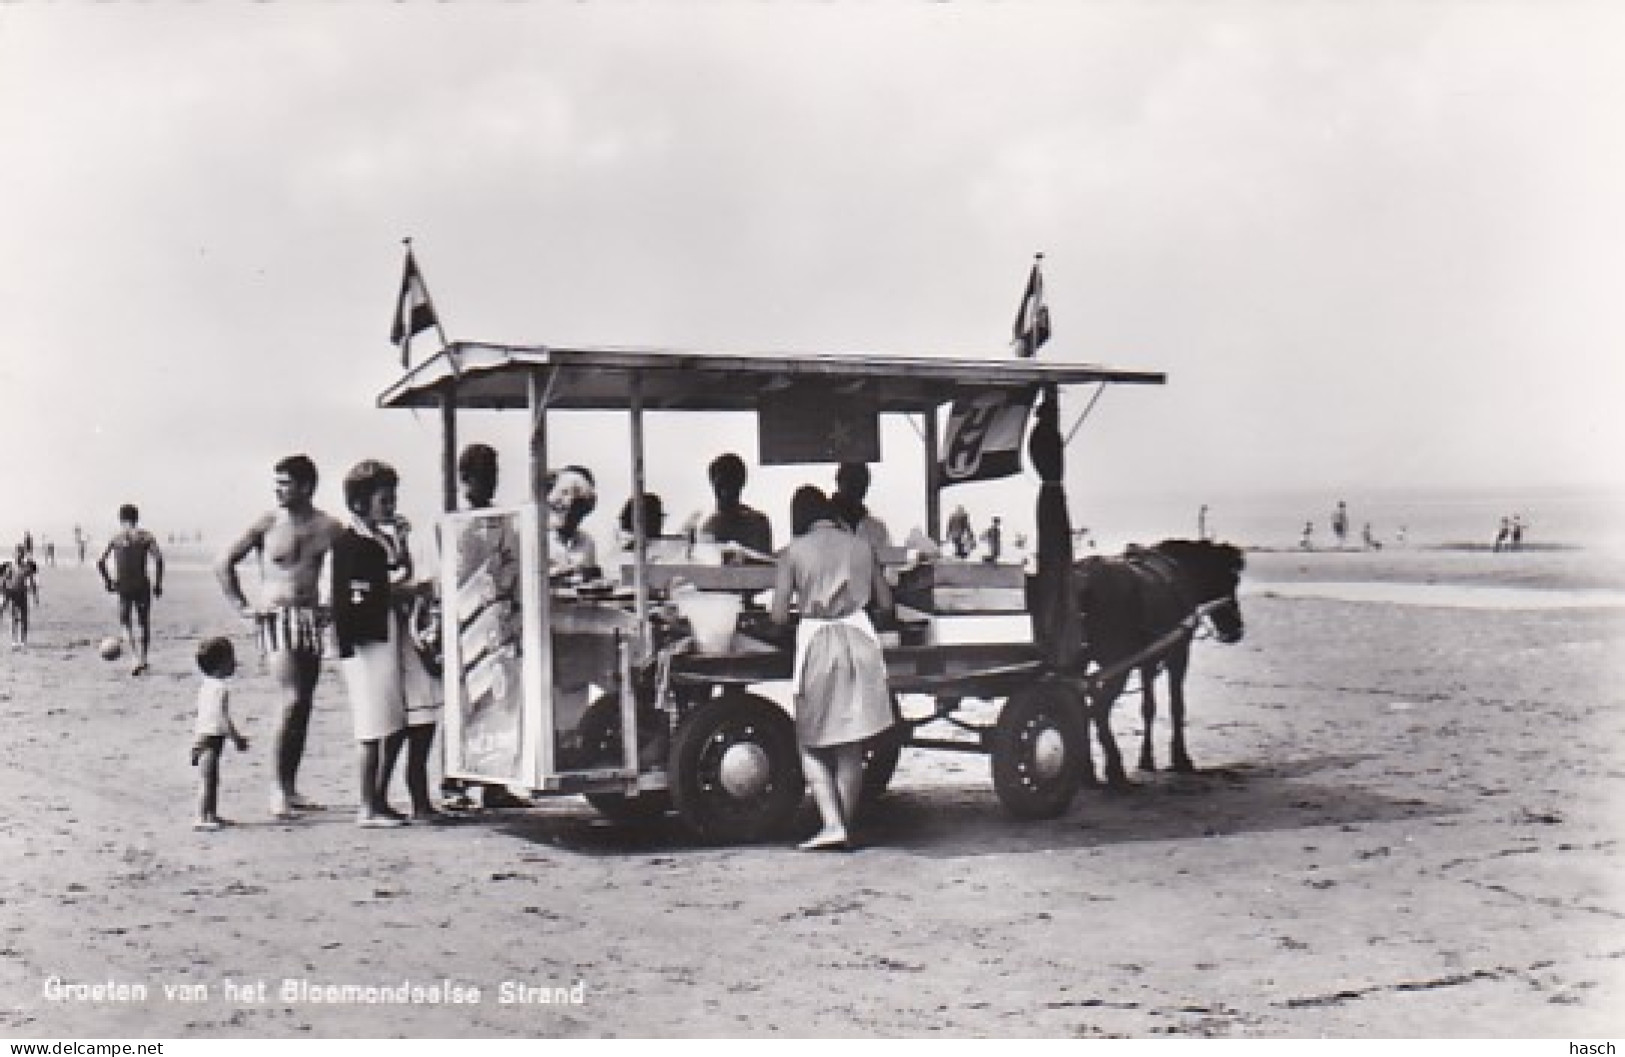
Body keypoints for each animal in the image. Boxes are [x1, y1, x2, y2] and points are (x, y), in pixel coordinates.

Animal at [1072, 539, 1248, 787]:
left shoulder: (1148, 661)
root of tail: (1085, 580)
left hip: (1078, 664)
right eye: (1232, 580)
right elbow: (1177, 706)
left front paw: (1146, 759)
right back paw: (1114, 769)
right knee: (1098, 710)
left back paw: (1087, 772)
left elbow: (1148, 707)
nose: (1236, 630)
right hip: (1117, 667)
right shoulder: (1179, 654)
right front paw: (1181, 758)